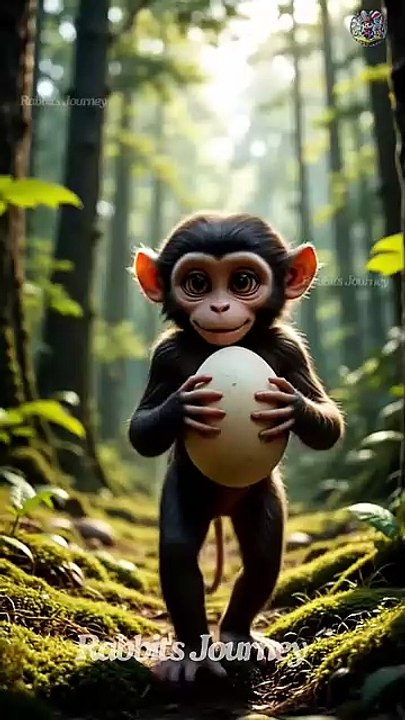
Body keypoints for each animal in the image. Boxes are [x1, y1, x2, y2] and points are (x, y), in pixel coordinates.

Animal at [128, 212, 344, 684]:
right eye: (197, 283)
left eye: (243, 281)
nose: (220, 307)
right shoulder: (166, 354)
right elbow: (140, 430)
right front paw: (180, 406)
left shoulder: (289, 348)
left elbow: (330, 424)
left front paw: (293, 405)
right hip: (190, 492)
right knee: (178, 554)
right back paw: (193, 653)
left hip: (257, 497)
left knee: (263, 557)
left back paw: (237, 635)